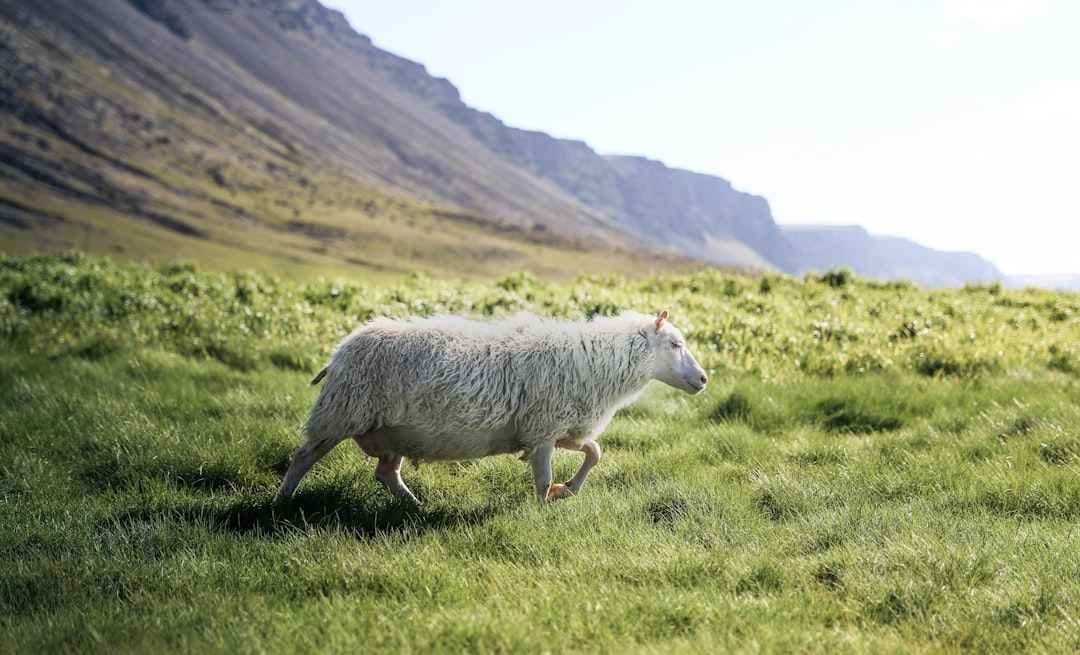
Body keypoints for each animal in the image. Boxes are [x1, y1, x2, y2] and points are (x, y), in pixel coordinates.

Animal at [274, 311, 704, 505]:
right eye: (676, 345)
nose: (703, 380)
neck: (596, 362)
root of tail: (340, 350)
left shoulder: (557, 428)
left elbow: (594, 452)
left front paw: (568, 489)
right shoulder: (543, 430)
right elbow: (542, 479)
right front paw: (542, 510)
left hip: (390, 431)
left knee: (386, 474)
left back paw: (415, 506)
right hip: (341, 413)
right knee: (302, 458)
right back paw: (280, 504)